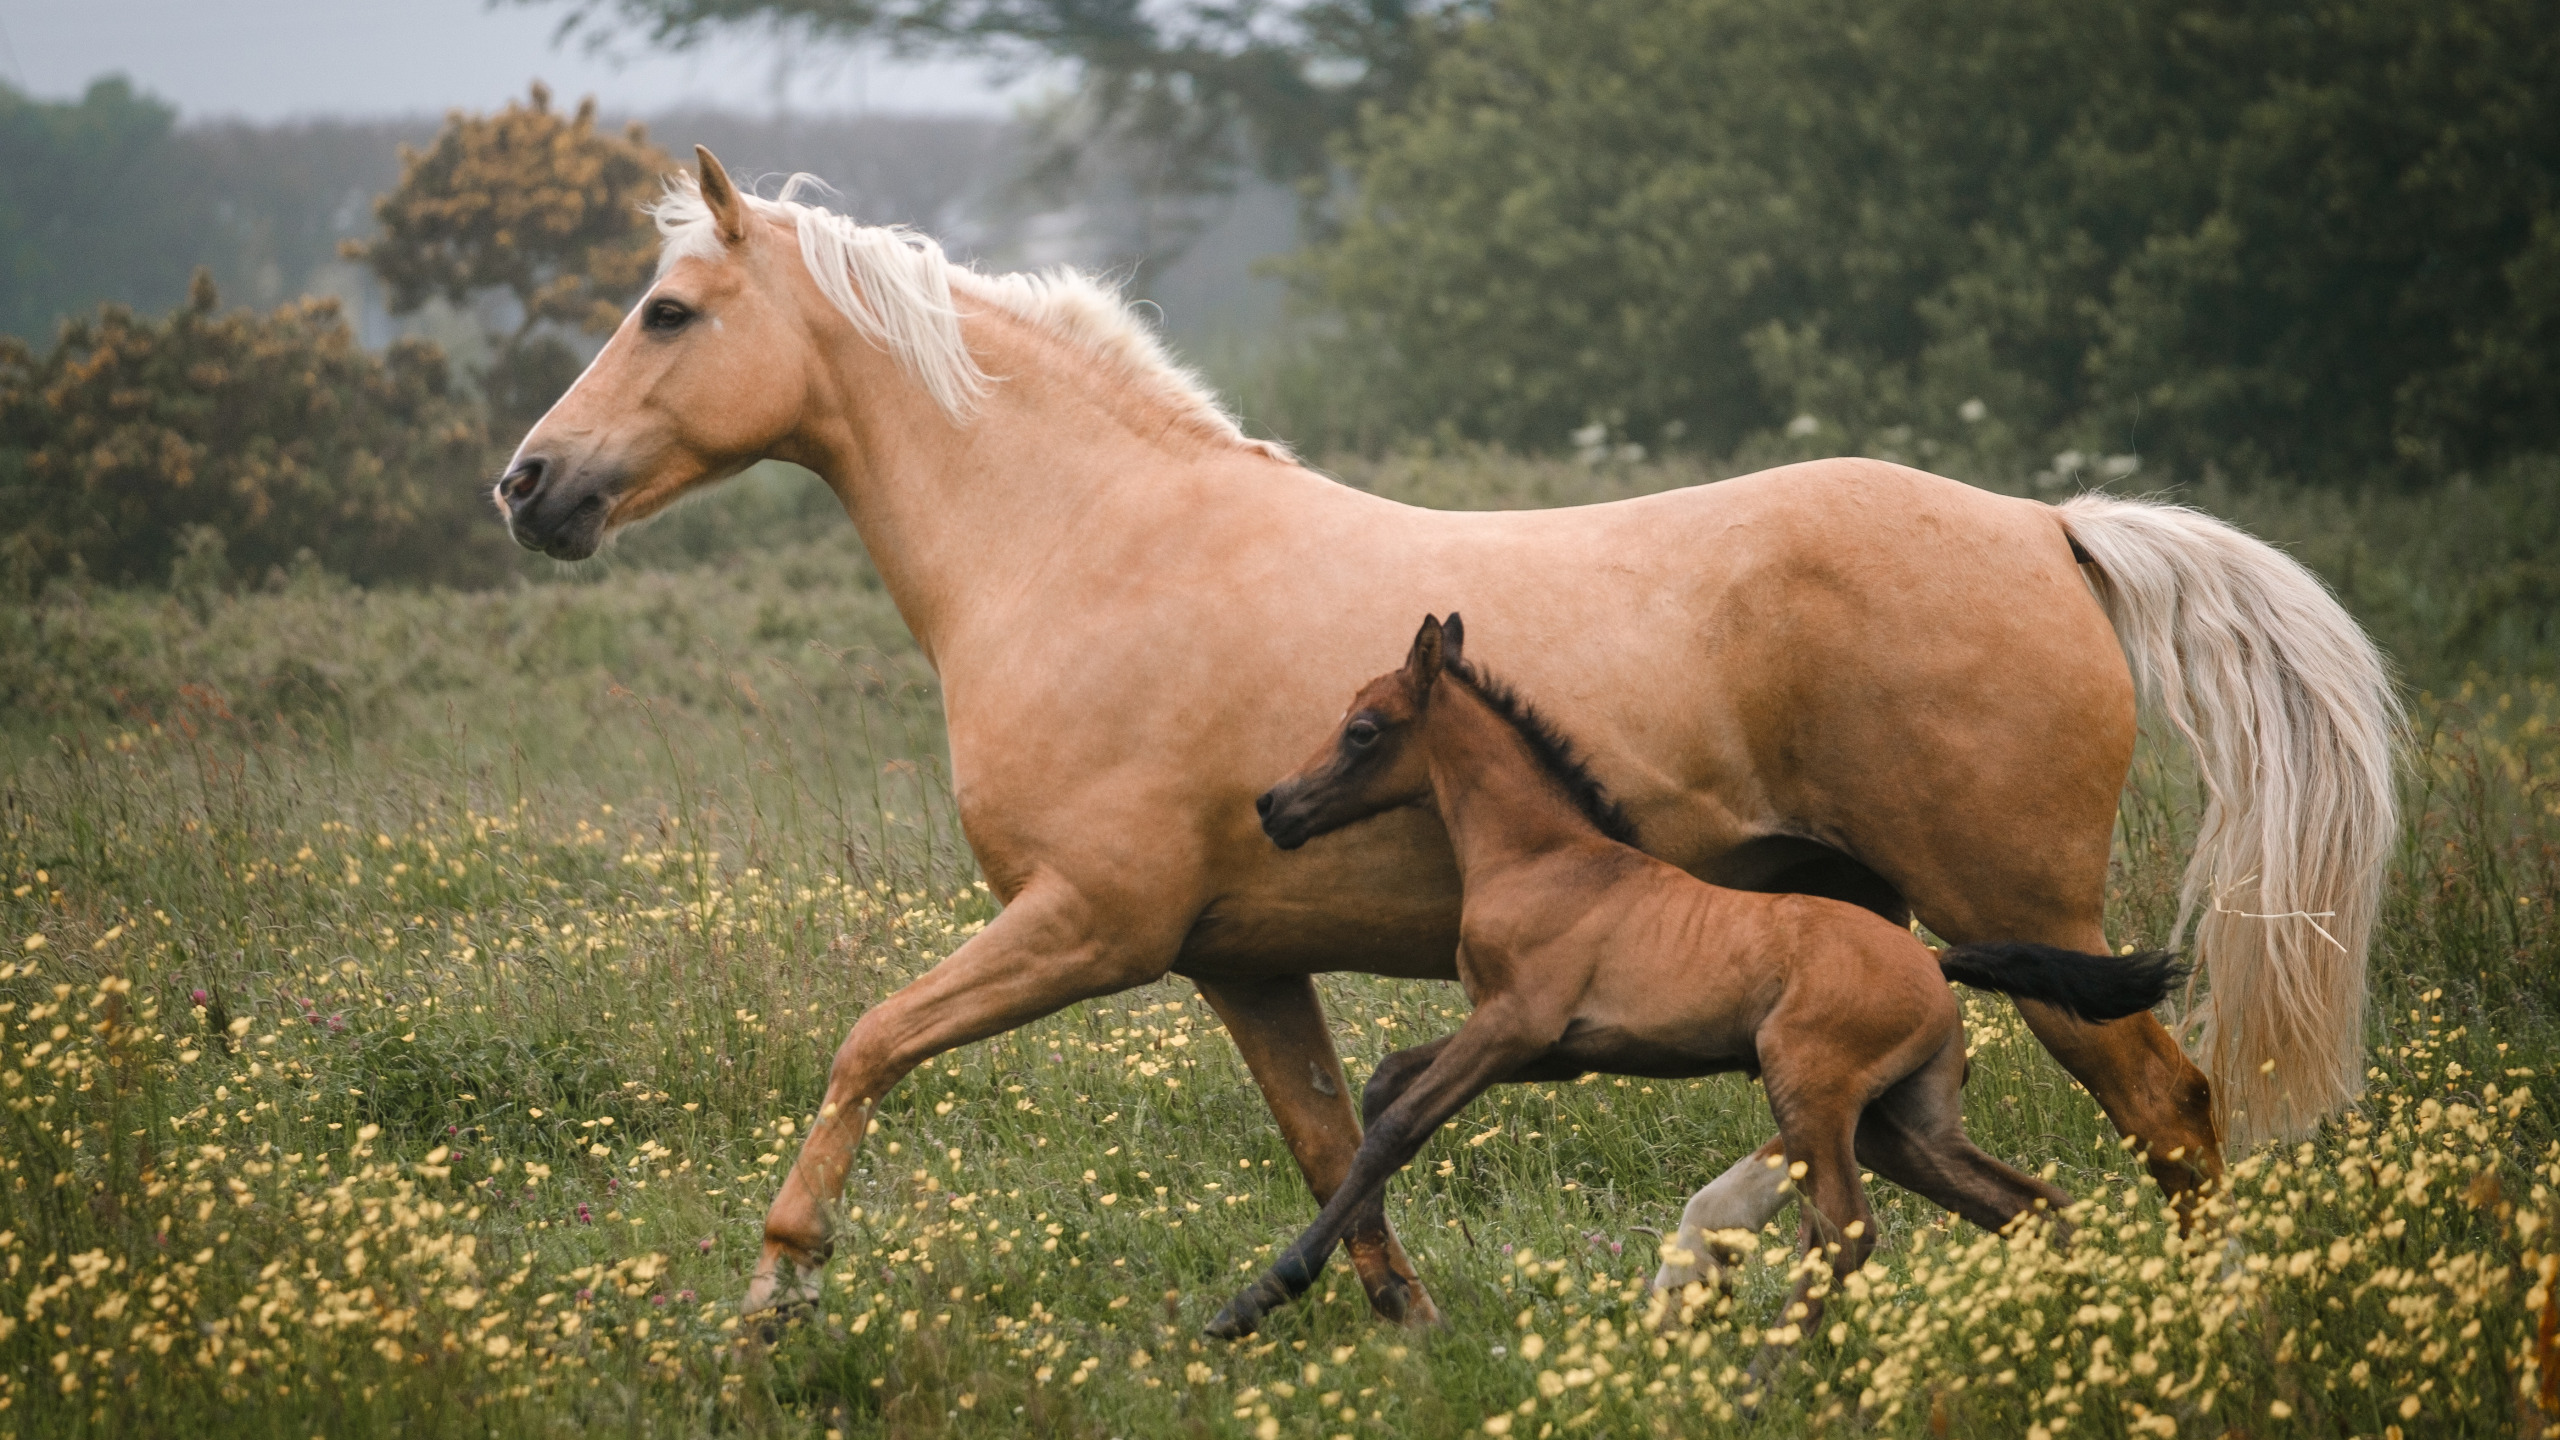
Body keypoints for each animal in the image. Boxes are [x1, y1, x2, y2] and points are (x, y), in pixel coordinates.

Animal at [1203, 614, 2181, 1332]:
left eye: (1363, 730)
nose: (1274, 807)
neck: (1542, 860)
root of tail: (1932, 961)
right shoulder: (1547, 1047)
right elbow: (1379, 1089)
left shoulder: (1517, 1025)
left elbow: (1397, 1125)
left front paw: (1258, 1295)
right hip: (1900, 1122)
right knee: (2028, 1206)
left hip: (1812, 1090)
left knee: (1847, 1231)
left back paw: (1761, 1384)